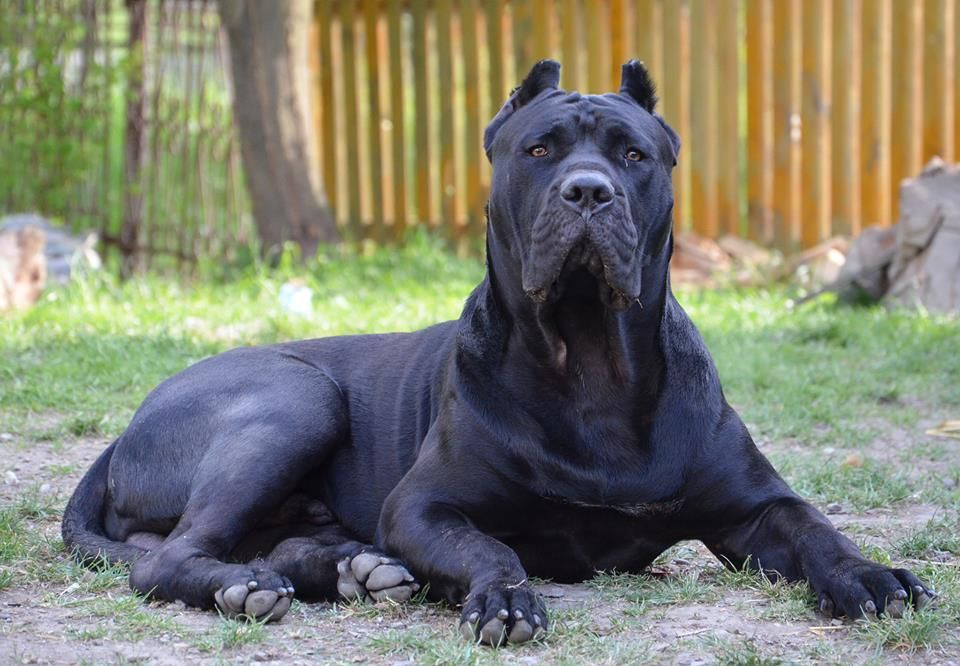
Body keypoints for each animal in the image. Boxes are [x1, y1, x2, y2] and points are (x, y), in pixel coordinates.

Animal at [63, 61, 932, 644]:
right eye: (539, 151)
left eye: (634, 155)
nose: (588, 191)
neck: (590, 362)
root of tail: (127, 425)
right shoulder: (424, 506)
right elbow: (489, 544)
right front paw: (505, 596)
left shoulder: (755, 507)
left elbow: (817, 527)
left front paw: (871, 575)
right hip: (293, 401)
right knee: (166, 557)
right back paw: (250, 587)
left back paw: (353, 571)